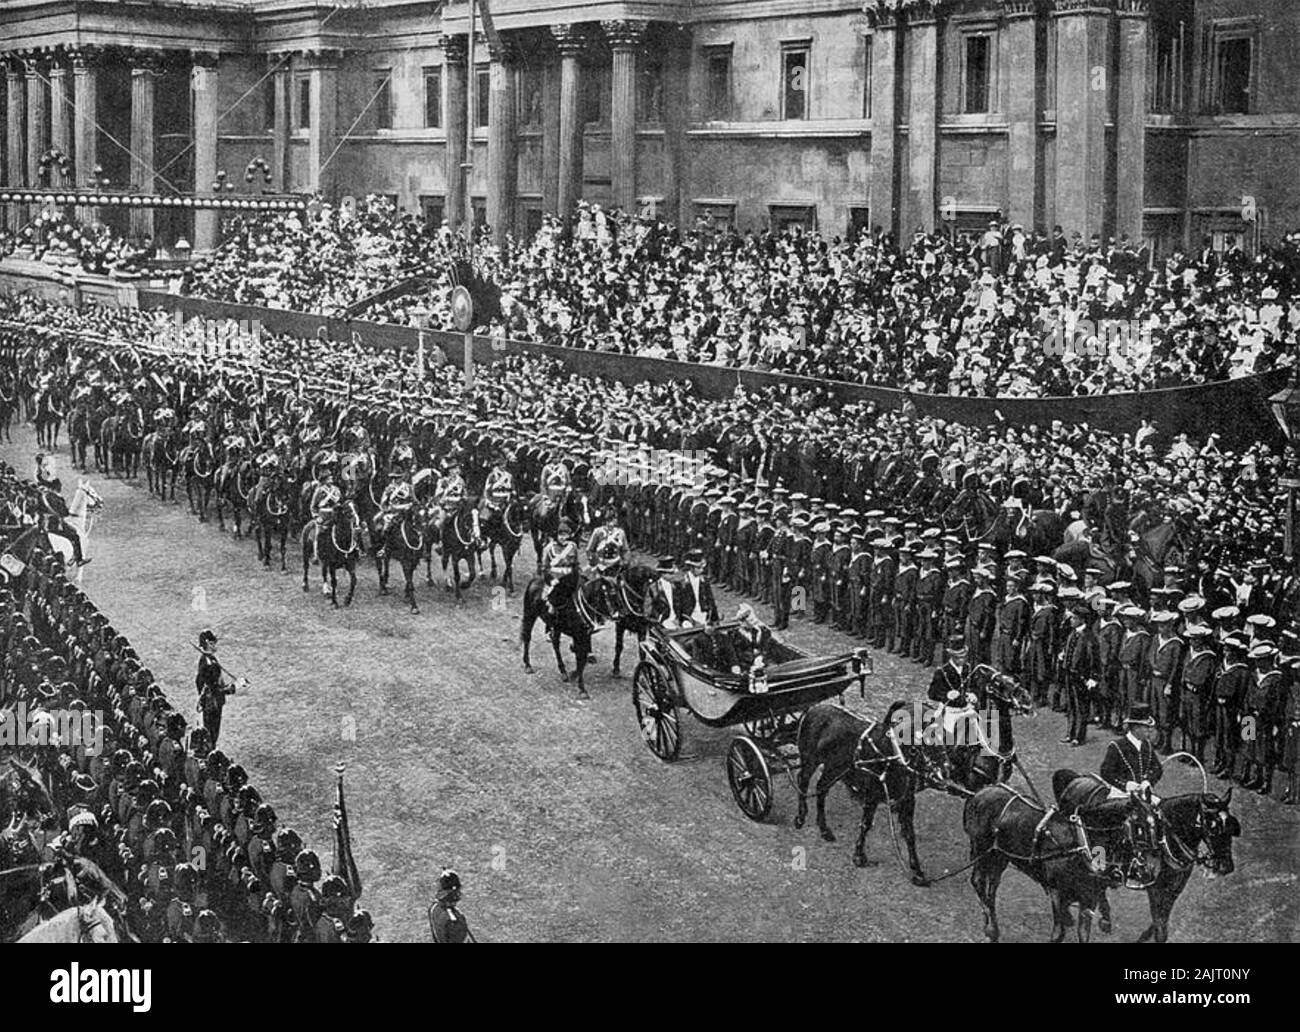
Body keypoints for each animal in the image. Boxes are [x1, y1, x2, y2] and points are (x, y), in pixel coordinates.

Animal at [517, 566, 618, 696]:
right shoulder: (579, 636)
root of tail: (535, 579)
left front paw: (574, 675)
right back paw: (528, 665)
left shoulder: (584, 636)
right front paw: (582, 689)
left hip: (556, 627)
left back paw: (563, 671)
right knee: (527, 638)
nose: (616, 615)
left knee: (555, 644)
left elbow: (582, 657)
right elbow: (580, 658)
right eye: (609, 594)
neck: (580, 607)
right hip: (530, 615)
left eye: (617, 594)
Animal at [790, 701, 956, 883]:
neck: (892, 754)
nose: (946, 769)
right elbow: (866, 824)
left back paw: (824, 829)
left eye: (944, 733)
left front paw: (917, 870)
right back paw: (800, 816)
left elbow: (910, 834)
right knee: (803, 780)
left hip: (833, 768)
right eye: (928, 734)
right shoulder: (872, 795)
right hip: (810, 760)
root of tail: (814, 708)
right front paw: (859, 856)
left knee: (821, 788)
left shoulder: (908, 799)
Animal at [967, 779, 1107, 941]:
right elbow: (1058, 933)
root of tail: (981, 792)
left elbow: (1083, 934)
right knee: (978, 880)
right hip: (982, 849)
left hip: (999, 855)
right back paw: (991, 927)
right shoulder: (1056, 893)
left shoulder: (1089, 900)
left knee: (992, 885)